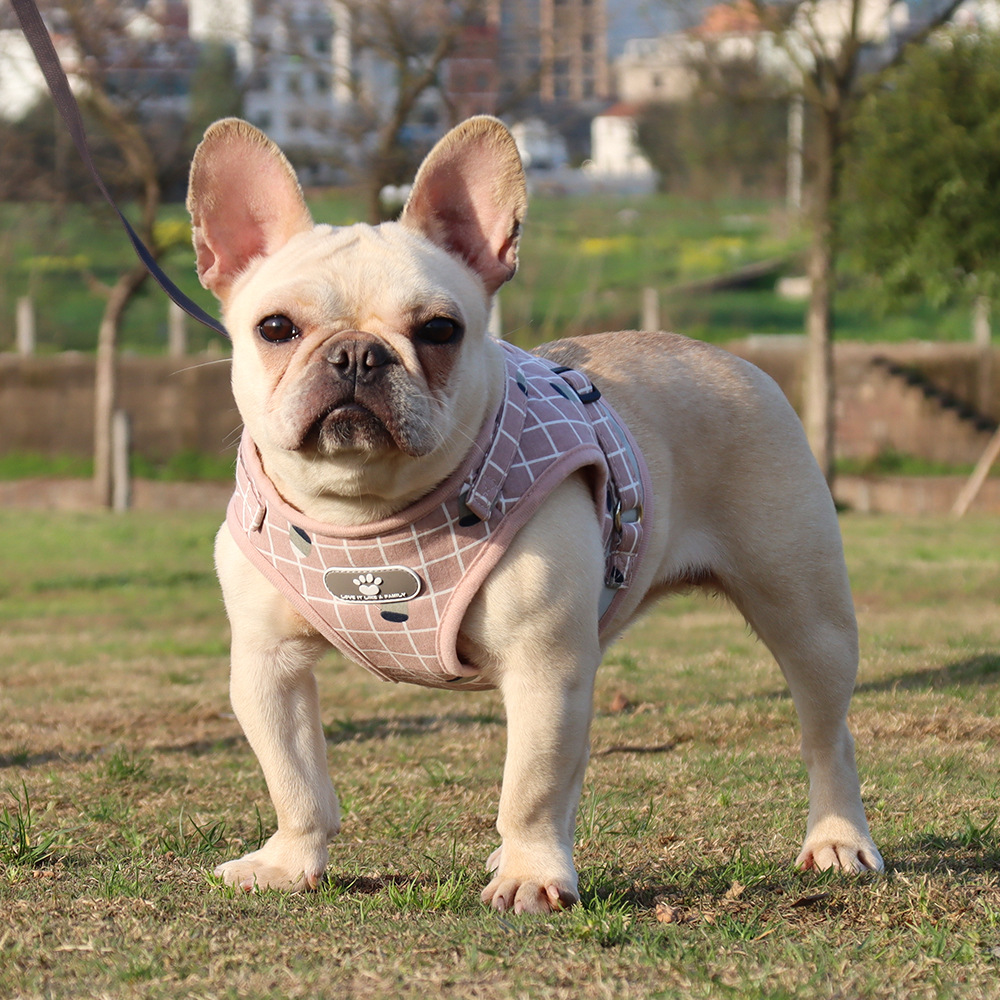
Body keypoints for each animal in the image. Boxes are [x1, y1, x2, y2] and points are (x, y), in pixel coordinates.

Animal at [188, 113, 884, 912]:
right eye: (275, 328)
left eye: (439, 330)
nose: (359, 355)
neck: (368, 512)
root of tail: (733, 359)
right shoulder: (267, 665)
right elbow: (295, 778)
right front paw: (288, 861)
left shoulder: (542, 663)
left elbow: (529, 785)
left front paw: (530, 877)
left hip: (806, 614)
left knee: (826, 734)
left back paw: (838, 839)